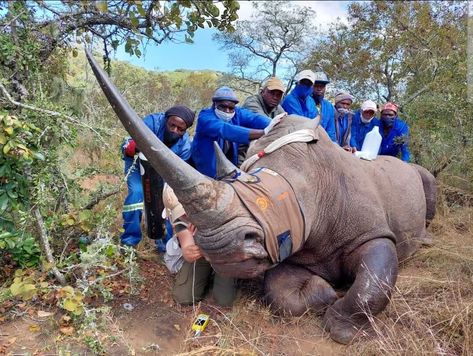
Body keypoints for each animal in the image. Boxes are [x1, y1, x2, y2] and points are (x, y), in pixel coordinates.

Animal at [85, 48, 436, 344]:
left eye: (274, 198)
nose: (219, 247)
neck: (318, 181)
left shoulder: (374, 233)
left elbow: (373, 283)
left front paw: (342, 330)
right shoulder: (291, 243)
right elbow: (280, 292)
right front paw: (326, 293)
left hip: (417, 174)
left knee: (428, 181)